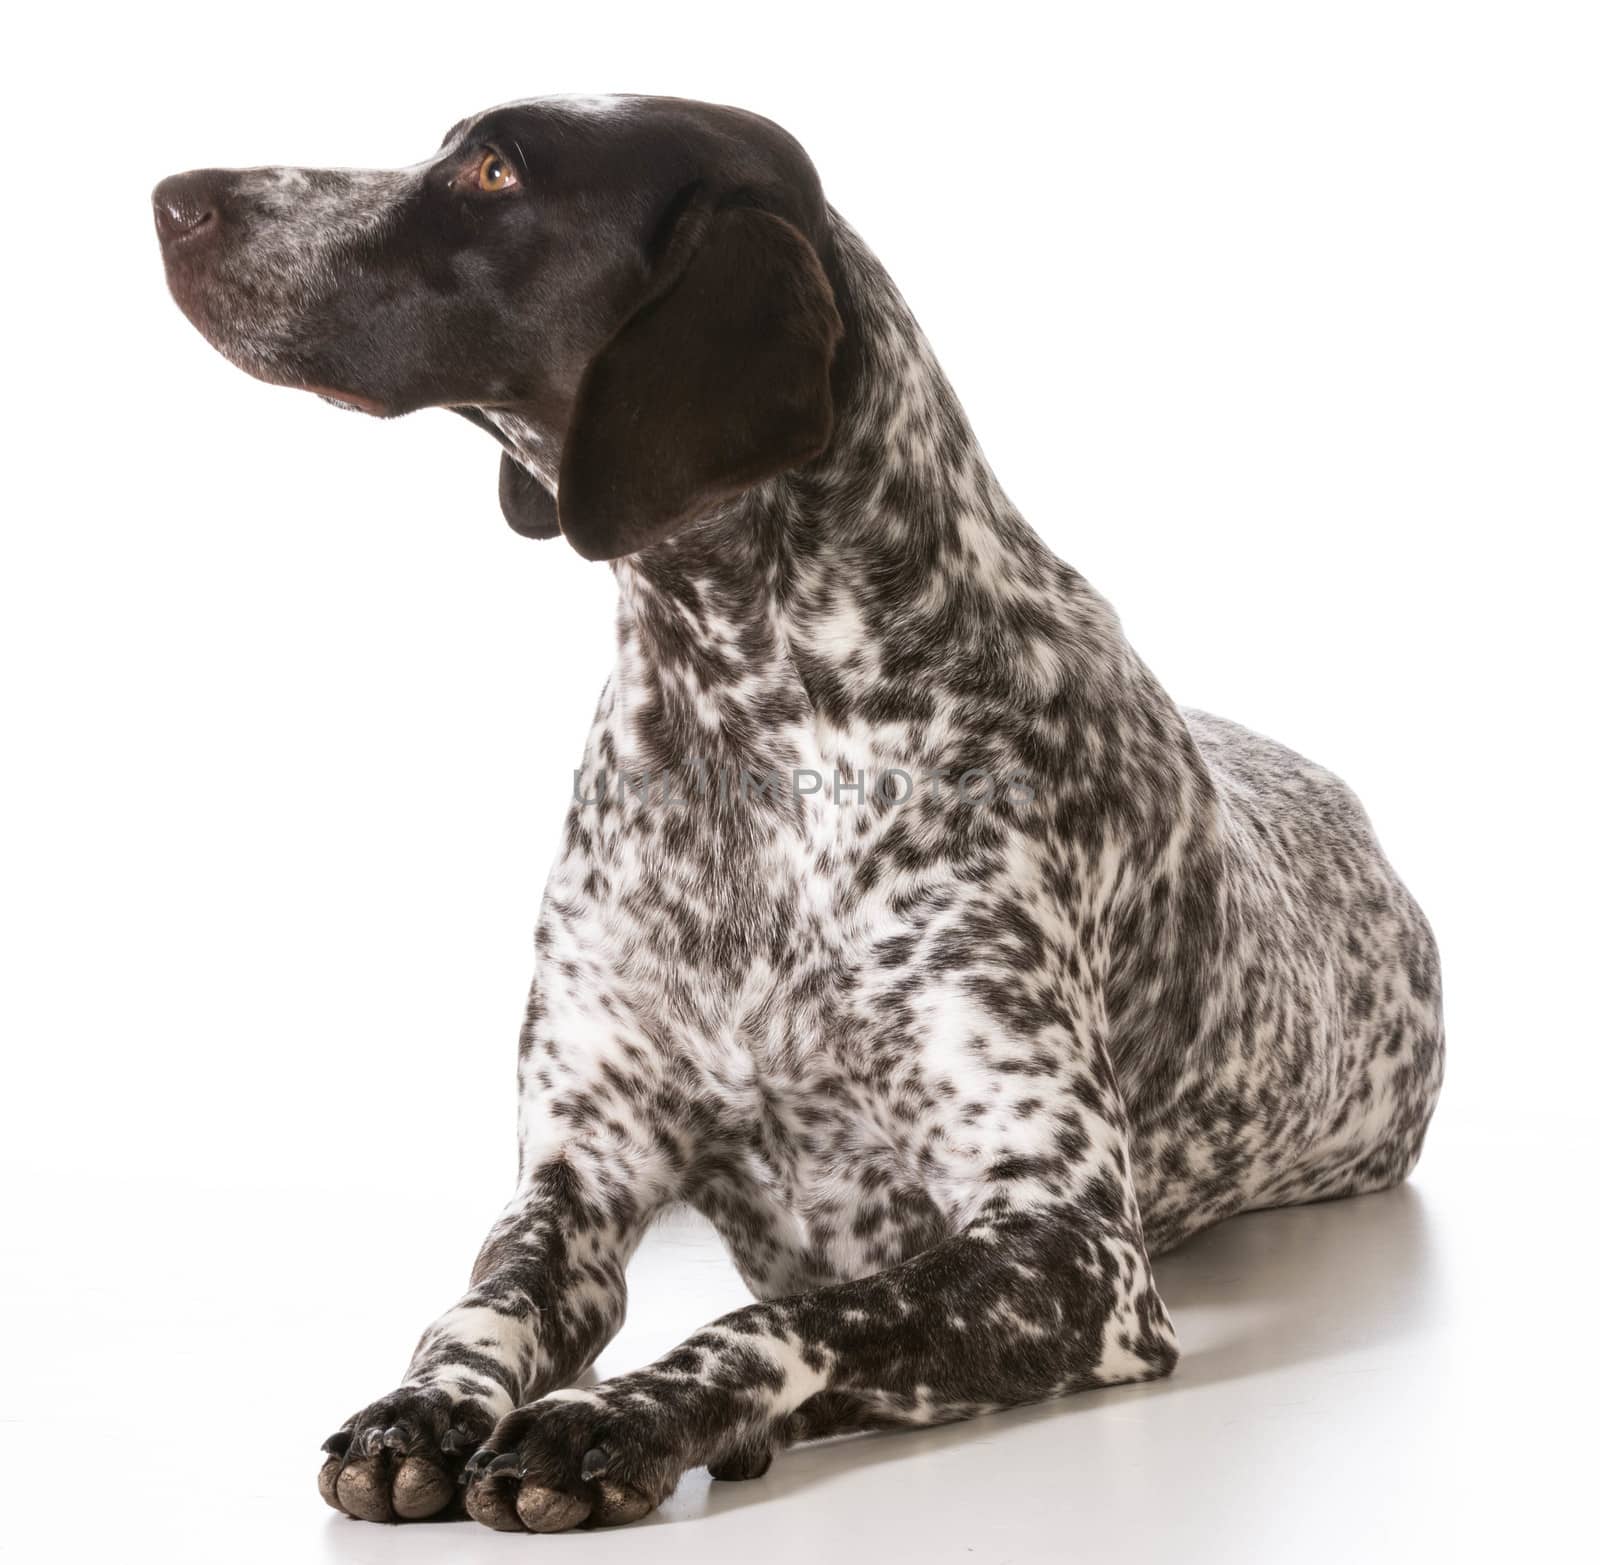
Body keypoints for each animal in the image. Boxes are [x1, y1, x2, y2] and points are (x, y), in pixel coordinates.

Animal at [156, 94, 1446, 1523]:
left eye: (495, 169)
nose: (173, 194)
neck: (736, 739)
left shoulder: (1072, 1249)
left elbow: (786, 1321)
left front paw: (616, 1417)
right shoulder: (576, 1177)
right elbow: (475, 1309)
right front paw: (424, 1404)